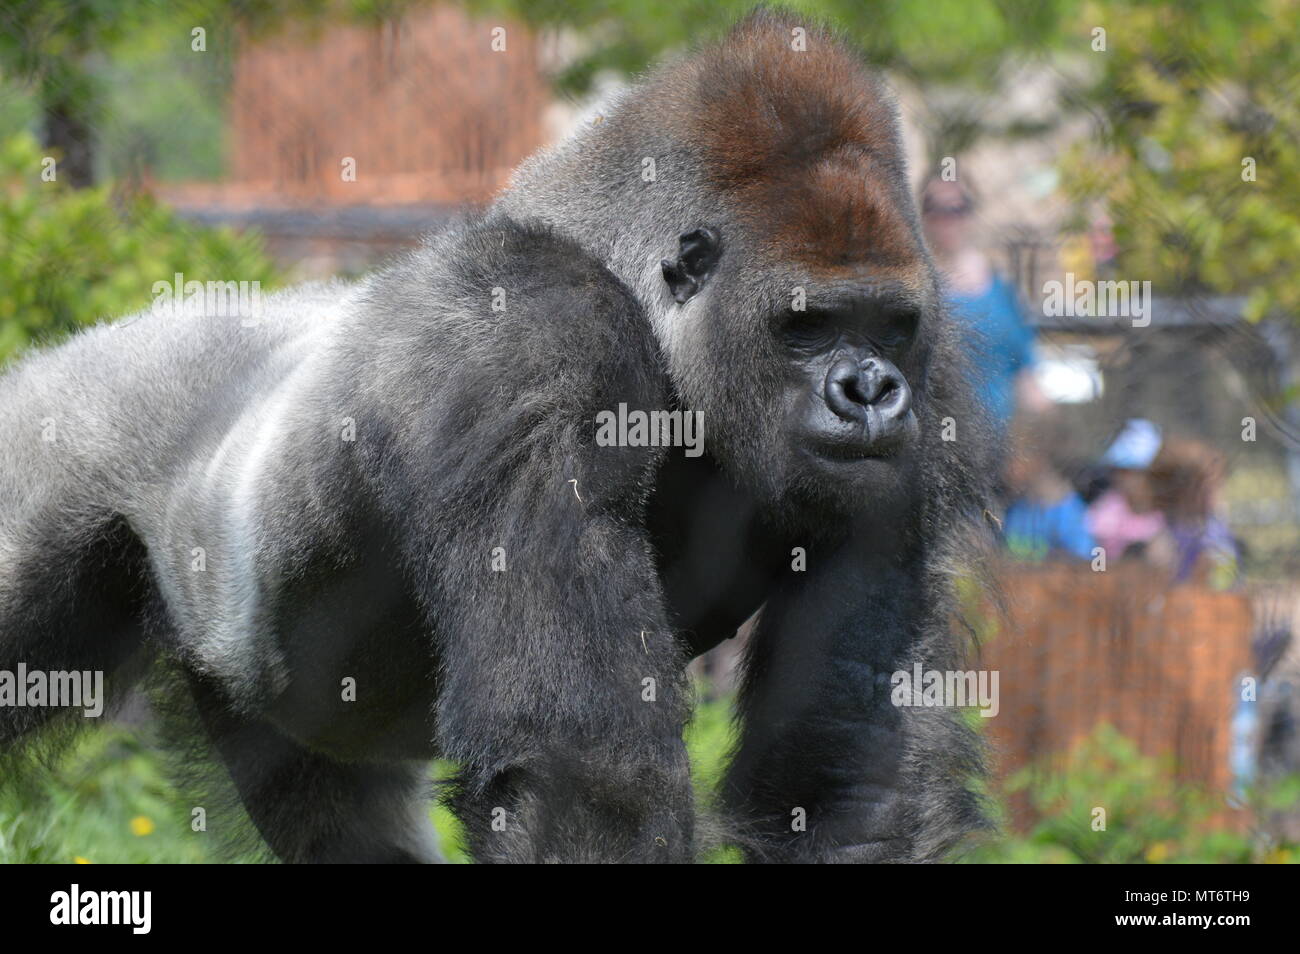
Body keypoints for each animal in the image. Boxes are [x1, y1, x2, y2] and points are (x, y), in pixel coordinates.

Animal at [0, 11, 987, 868]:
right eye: (806, 324)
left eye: (888, 325)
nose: (870, 391)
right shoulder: (537, 343)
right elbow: (584, 773)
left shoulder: (932, 369)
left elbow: (843, 777)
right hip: (55, 436)